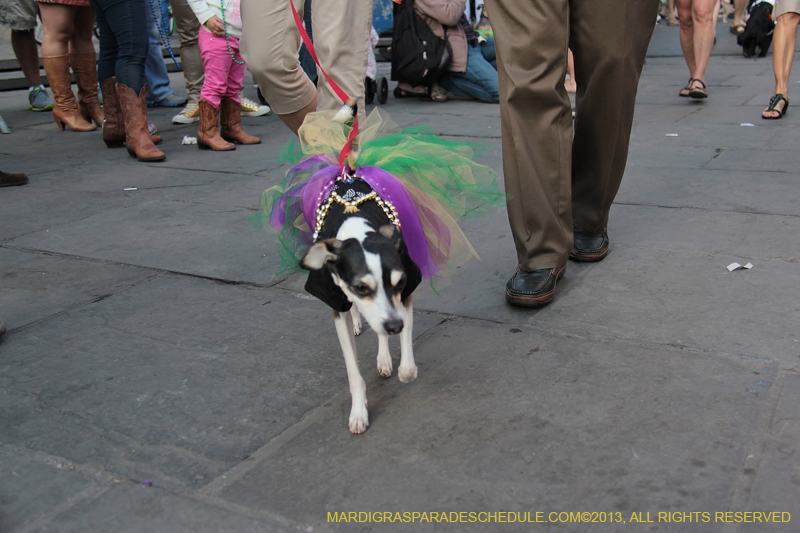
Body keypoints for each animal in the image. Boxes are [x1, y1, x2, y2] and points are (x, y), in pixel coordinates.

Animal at [302, 177, 424, 434]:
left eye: (400, 283)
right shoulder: (337, 307)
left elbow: (408, 368)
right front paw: (359, 411)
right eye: (360, 288)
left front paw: (402, 369)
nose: (394, 327)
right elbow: (354, 374)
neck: (357, 230)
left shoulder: (404, 297)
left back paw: (384, 358)